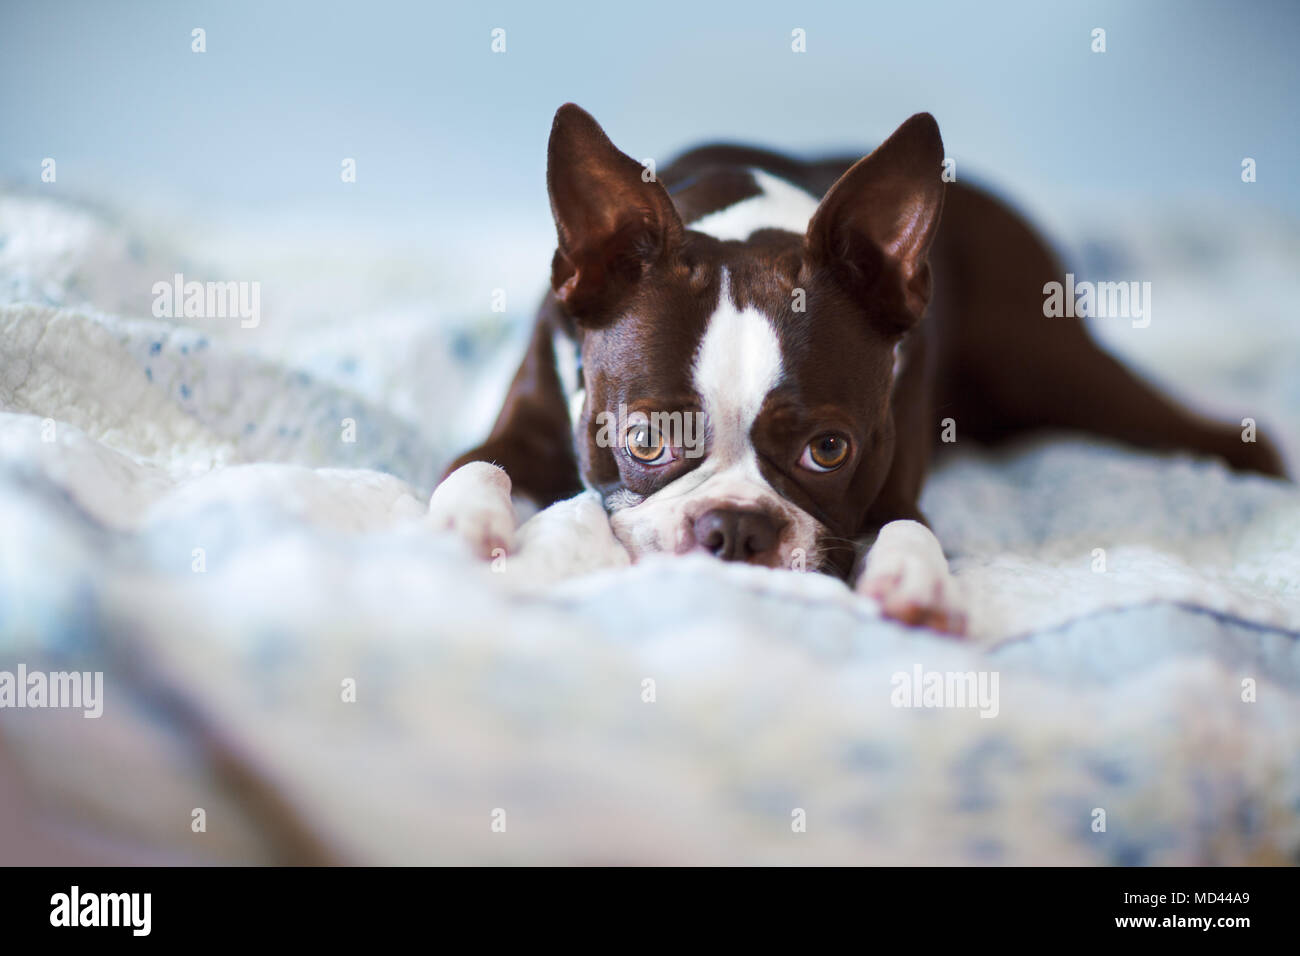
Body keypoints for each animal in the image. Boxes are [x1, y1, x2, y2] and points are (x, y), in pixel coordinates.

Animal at [428, 104, 1289, 634]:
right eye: (645, 441)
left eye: (829, 451)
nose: (736, 528)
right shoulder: (530, 414)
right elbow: (477, 464)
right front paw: (466, 524)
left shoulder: (894, 471)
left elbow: (909, 522)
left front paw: (915, 582)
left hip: (1056, 366)